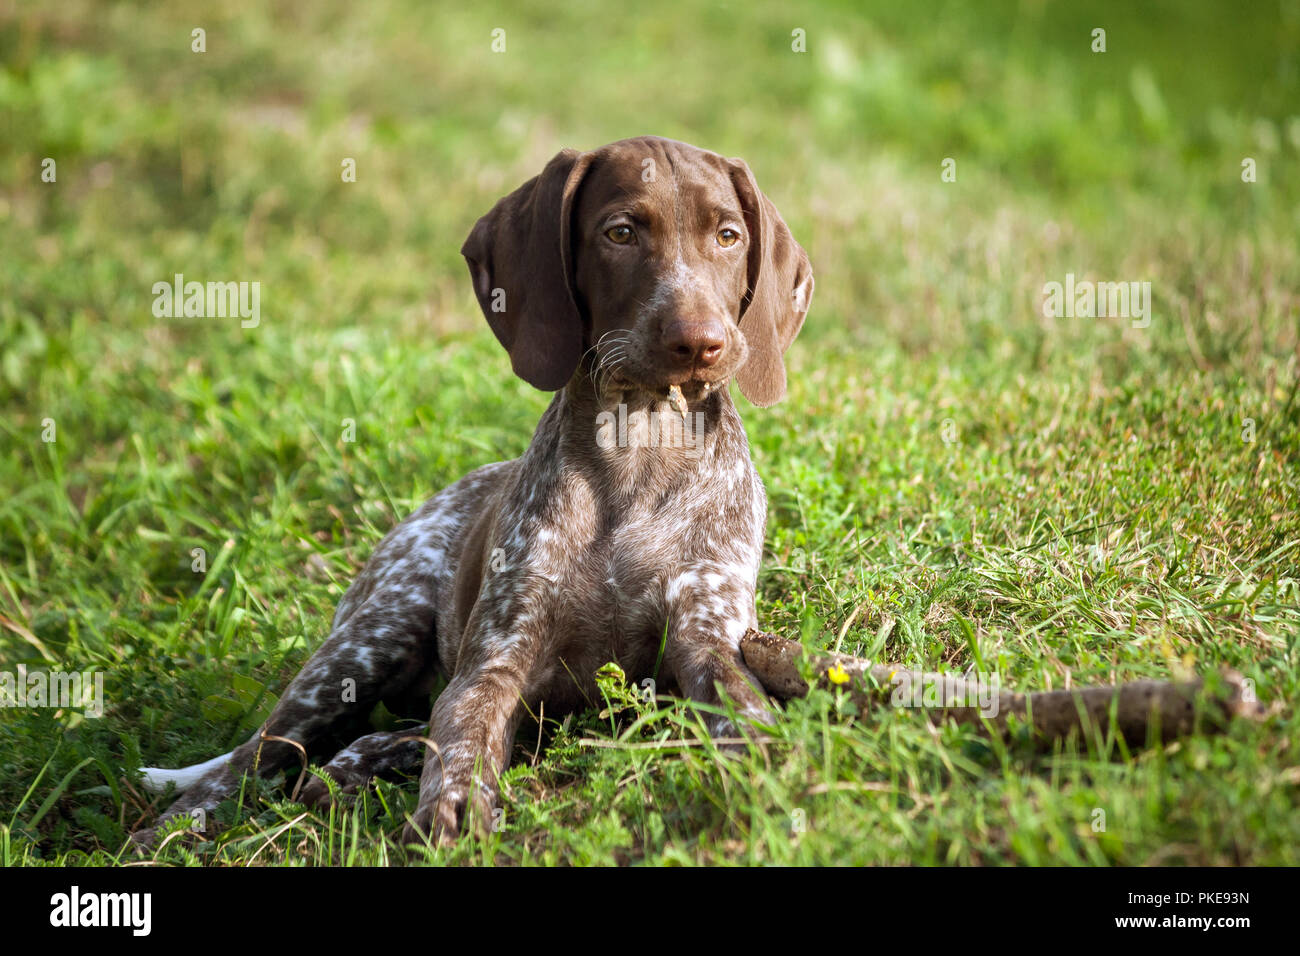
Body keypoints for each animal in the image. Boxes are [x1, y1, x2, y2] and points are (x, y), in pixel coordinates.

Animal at [139, 134, 811, 842]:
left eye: (728, 236)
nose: (700, 343)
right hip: (366, 640)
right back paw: (174, 829)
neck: (641, 443)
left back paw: (356, 766)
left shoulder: (707, 630)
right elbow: (463, 739)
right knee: (259, 752)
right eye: (621, 233)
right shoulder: (494, 662)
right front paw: (453, 811)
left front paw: (772, 769)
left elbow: (741, 703)